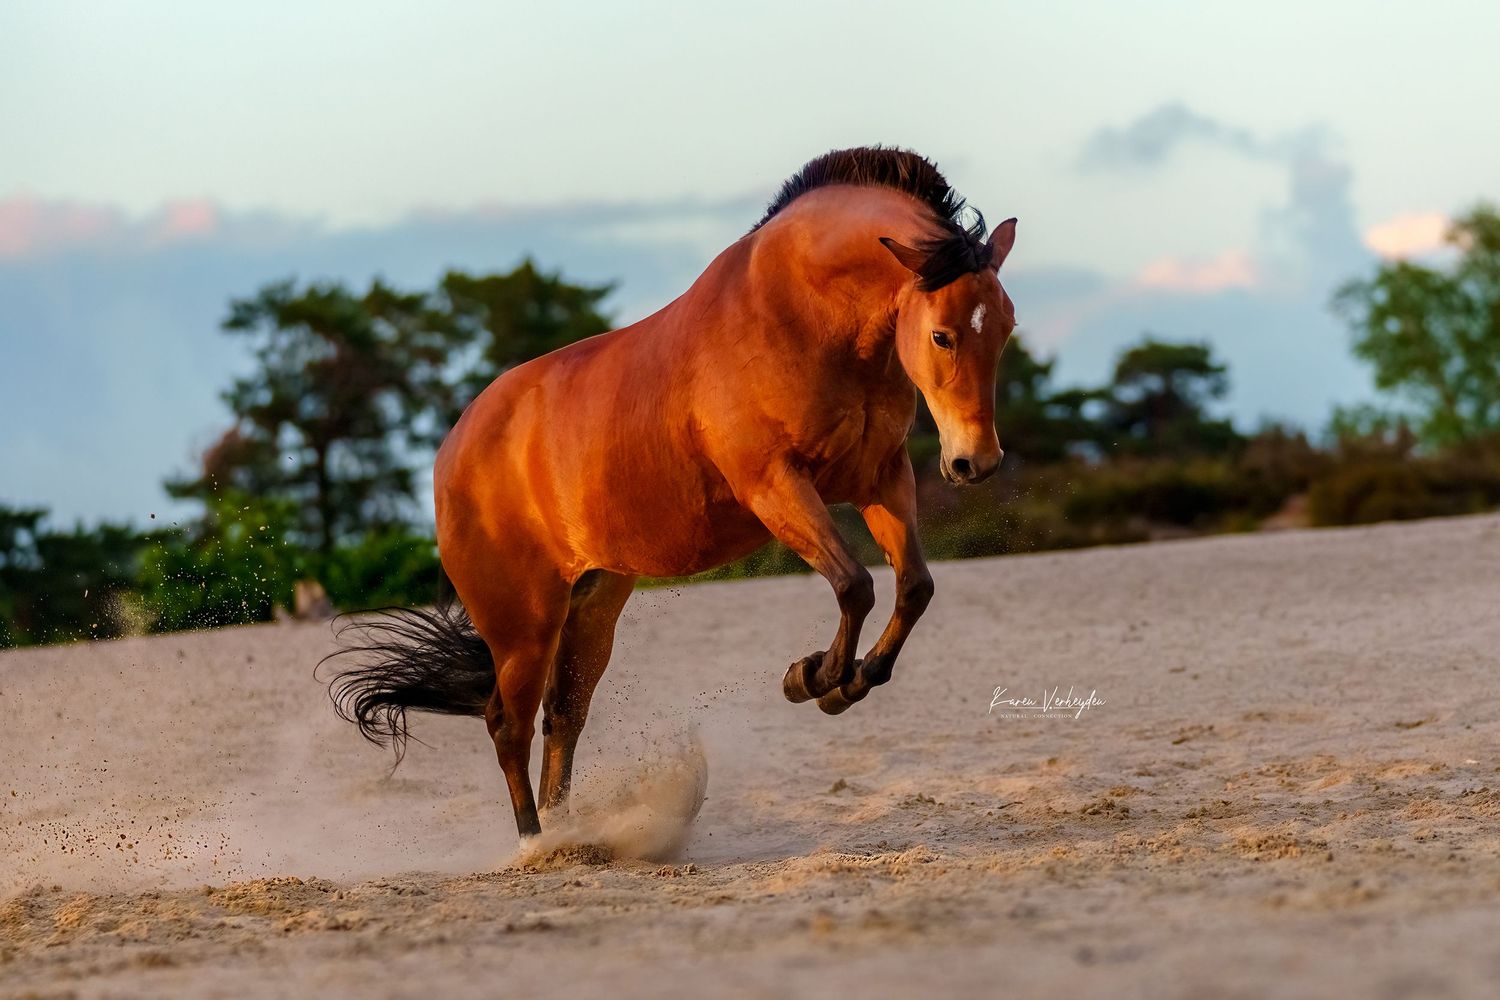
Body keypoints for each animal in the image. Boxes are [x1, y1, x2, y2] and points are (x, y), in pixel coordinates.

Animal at [329, 146, 1018, 841]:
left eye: (1006, 327)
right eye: (941, 335)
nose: (976, 462)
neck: (804, 314)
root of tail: (452, 450)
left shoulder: (880, 478)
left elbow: (913, 587)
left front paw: (850, 682)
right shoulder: (775, 485)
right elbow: (855, 584)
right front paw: (812, 678)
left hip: (593, 604)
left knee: (562, 714)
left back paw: (570, 832)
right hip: (523, 622)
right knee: (508, 725)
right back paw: (534, 844)